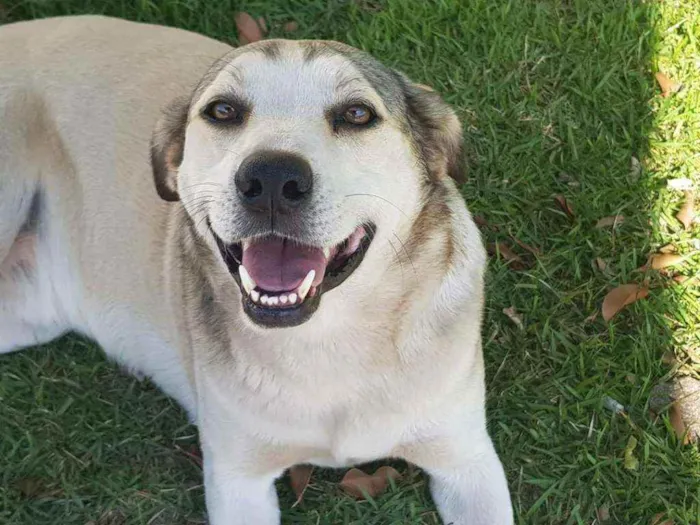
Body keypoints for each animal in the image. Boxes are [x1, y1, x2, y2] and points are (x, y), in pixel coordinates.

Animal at [0, 14, 516, 520]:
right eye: (223, 111)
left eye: (357, 114)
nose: (271, 178)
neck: (325, 343)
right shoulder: (237, 479)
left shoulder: (467, 460)